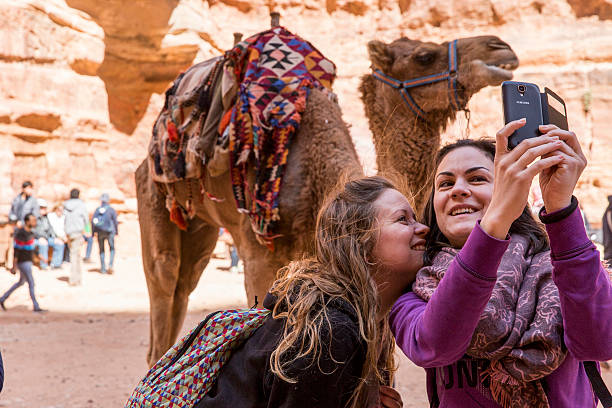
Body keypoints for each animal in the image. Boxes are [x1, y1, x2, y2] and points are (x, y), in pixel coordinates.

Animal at [136, 31, 520, 364]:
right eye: (424, 56)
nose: (500, 47)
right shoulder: (256, 251)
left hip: (199, 226)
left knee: (185, 283)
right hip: (153, 192)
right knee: (165, 281)